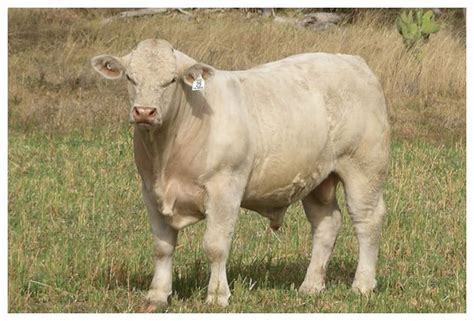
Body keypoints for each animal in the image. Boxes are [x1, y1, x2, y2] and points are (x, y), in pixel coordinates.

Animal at [91, 38, 388, 308]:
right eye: (130, 77)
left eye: (171, 80)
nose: (144, 112)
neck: (166, 154)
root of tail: (351, 60)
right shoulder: (151, 191)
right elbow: (162, 247)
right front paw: (157, 295)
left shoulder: (225, 187)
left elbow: (215, 245)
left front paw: (217, 295)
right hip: (319, 179)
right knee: (327, 223)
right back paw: (311, 286)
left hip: (364, 169)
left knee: (368, 221)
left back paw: (362, 285)